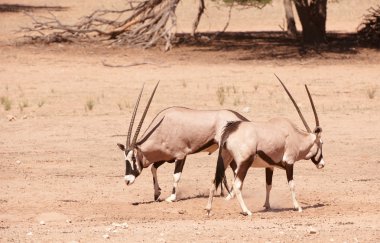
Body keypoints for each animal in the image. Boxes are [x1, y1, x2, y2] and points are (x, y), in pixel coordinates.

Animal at [118, 82, 249, 202]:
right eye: (125, 158)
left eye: (133, 158)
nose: (127, 180)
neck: (163, 127)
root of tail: (240, 118)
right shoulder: (166, 157)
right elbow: (153, 168)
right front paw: (156, 193)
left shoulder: (180, 155)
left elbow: (176, 175)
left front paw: (171, 197)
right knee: (234, 169)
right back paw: (230, 195)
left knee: (235, 169)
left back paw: (230, 196)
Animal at [206, 75, 326, 215]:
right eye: (321, 143)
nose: (322, 164)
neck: (296, 136)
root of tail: (231, 130)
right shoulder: (289, 162)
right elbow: (292, 185)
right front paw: (298, 207)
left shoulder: (270, 166)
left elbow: (268, 185)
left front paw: (267, 205)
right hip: (244, 162)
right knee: (237, 185)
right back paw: (246, 211)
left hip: (225, 158)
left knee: (215, 179)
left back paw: (208, 209)